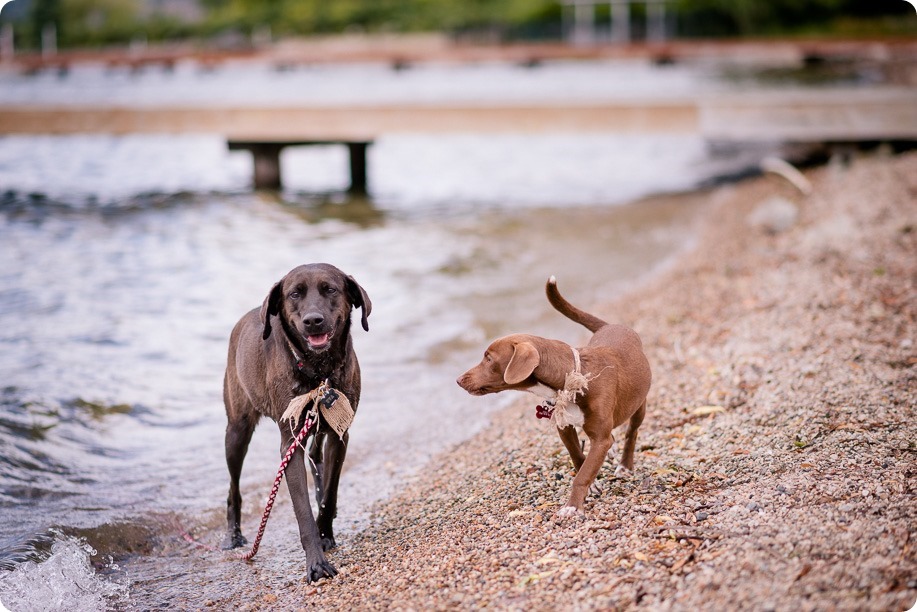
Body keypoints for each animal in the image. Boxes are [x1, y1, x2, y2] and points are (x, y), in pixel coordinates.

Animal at [221, 262, 368, 580]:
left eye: (330, 289)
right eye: (295, 294)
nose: (313, 321)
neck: (318, 371)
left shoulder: (340, 434)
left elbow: (329, 493)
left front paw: (325, 533)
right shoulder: (289, 445)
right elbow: (302, 511)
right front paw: (316, 563)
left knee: (316, 455)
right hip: (236, 431)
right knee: (233, 488)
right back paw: (233, 535)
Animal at [454, 278, 648, 516]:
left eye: (489, 359)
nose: (459, 380)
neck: (572, 379)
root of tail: (609, 325)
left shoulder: (600, 437)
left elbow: (584, 472)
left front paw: (573, 506)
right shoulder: (564, 428)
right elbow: (579, 458)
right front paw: (592, 485)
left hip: (640, 404)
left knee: (632, 432)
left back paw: (625, 465)